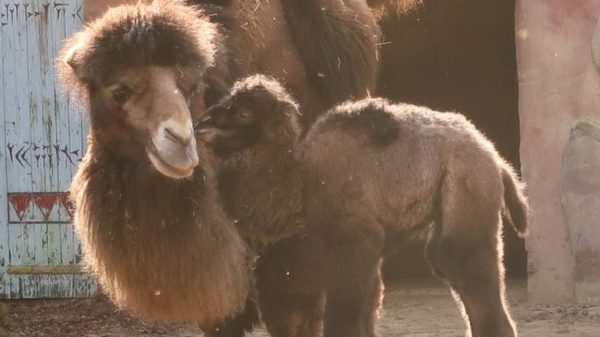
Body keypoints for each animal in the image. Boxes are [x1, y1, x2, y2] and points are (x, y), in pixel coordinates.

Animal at [198, 74, 528, 336]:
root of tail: (495, 158)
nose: (202, 123)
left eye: (242, 113)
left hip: (467, 188)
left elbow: (343, 317)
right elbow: (364, 311)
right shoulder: (364, 256)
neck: (298, 193)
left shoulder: (353, 240)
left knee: (459, 260)